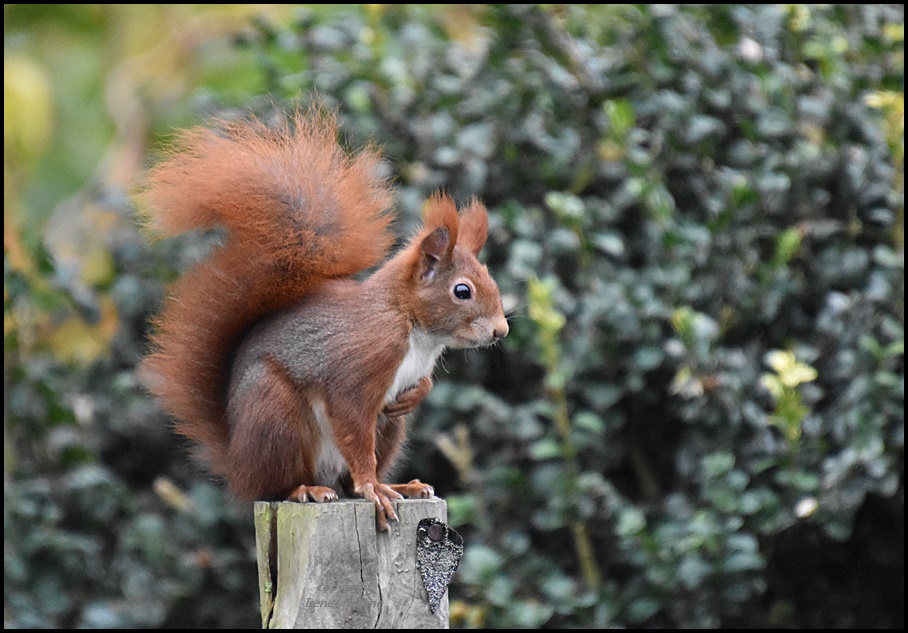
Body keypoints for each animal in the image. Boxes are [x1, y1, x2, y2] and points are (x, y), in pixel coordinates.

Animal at [142, 108, 510, 528]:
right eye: (462, 291)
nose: (501, 330)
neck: (411, 326)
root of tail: (237, 462)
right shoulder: (361, 367)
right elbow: (352, 423)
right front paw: (371, 488)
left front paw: (418, 394)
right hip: (275, 415)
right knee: (276, 484)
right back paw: (310, 489)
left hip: (387, 428)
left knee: (350, 475)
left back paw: (398, 486)